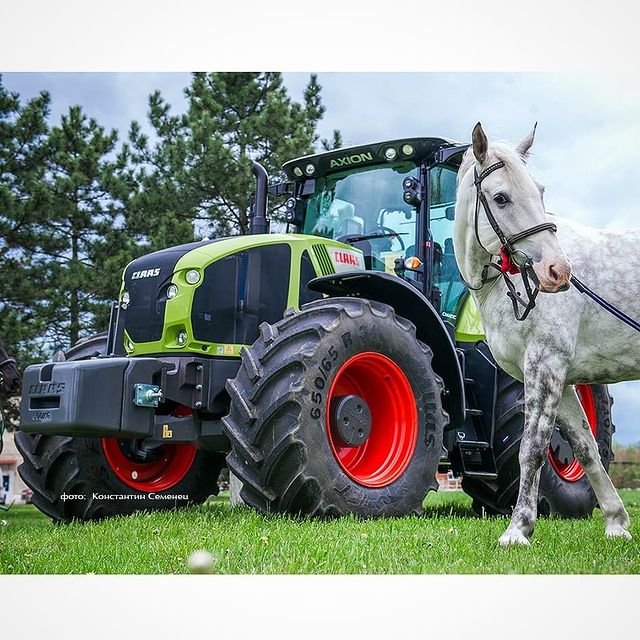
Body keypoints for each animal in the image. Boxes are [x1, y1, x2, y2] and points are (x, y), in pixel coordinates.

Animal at [454, 123, 635, 546]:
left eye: (539, 191)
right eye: (500, 198)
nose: (558, 270)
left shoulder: (544, 366)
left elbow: (532, 449)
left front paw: (518, 528)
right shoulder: (561, 378)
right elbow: (586, 448)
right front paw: (616, 522)